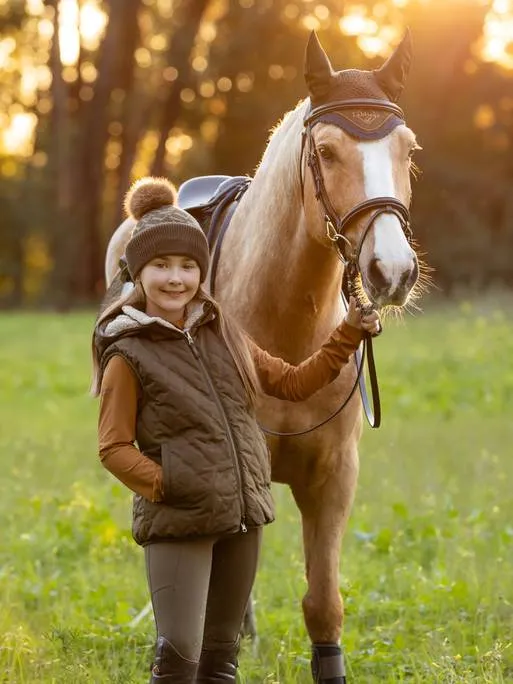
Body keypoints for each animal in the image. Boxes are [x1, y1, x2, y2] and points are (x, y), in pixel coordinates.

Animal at [103, 30, 420, 680]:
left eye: (407, 149)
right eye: (326, 151)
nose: (393, 270)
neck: (287, 330)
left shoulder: (334, 477)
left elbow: (323, 603)